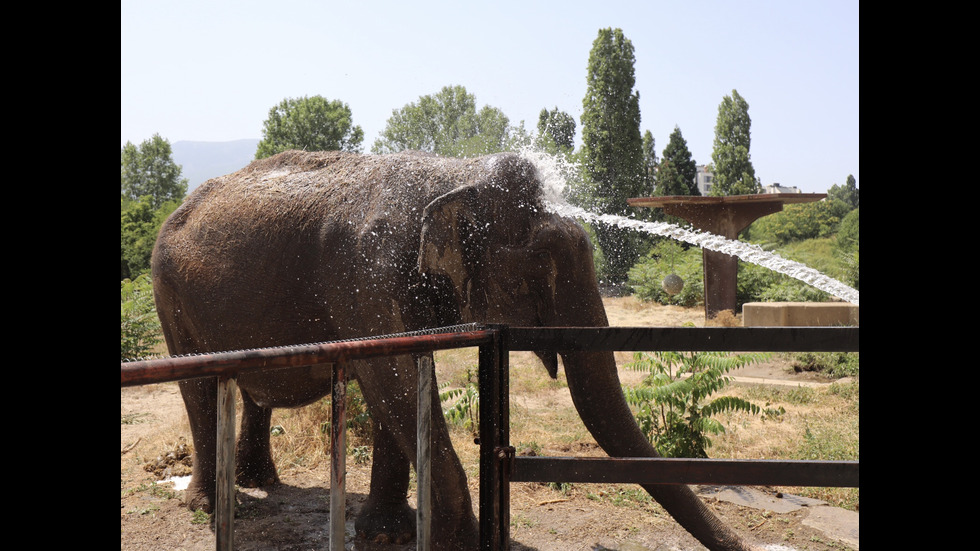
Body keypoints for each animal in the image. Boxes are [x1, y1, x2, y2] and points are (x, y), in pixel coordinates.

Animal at [151, 149, 756, 548]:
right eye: (533, 276)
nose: (743, 545)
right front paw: (458, 539)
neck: (453, 174)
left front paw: (387, 532)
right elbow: (389, 375)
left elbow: (393, 382)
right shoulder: (362, 274)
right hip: (168, 295)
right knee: (199, 388)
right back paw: (216, 506)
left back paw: (261, 484)